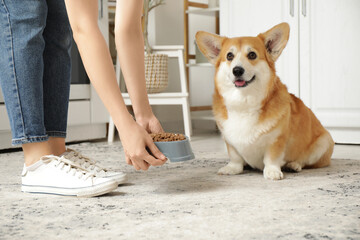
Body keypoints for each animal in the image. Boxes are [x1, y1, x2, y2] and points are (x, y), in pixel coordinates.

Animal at [195, 23, 334, 180]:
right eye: (229, 56)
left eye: (252, 55)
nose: (237, 70)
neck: (244, 102)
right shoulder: (230, 141)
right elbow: (235, 157)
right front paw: (232, 168)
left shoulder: (276, 140)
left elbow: (271, 157)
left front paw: (272, 171)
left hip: (323, 143)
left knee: (305, 161)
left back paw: (293, 165)